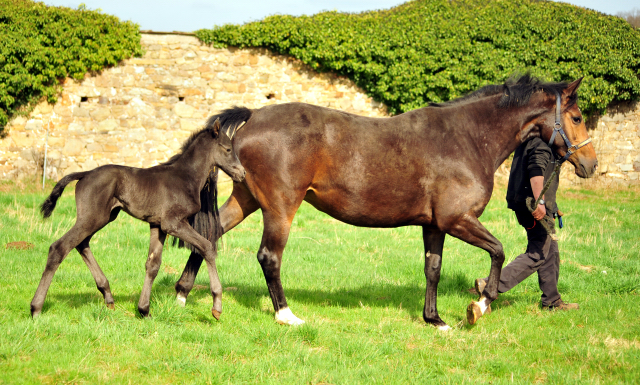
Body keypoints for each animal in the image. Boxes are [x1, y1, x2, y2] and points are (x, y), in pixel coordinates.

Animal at [30, 118, 246, 320]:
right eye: (227, 149)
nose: (242, 173)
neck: (185, 177)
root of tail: (85, 173)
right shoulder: (173, 223)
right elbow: (207, 247)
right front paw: (217, 305)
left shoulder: (157, 225)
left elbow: (153, 264)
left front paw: (144, 310)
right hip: (93, 217)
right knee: (59, 247)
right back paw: (36, 308)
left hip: (103, 217)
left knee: (82, 244)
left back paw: (108, 295)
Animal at [174, 76, 596, 330]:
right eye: (576, 117)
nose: (591, 164)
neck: (466, 138)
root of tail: (254, 117)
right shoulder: (457, 219)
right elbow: (498, 251)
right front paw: (480, 305)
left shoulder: (434, 225)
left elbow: (433, 270)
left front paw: (435, 319)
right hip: (280, 208)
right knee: (268, 257)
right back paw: (286, 315)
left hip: (246, 199)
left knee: (209, 236)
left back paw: (182, 293)